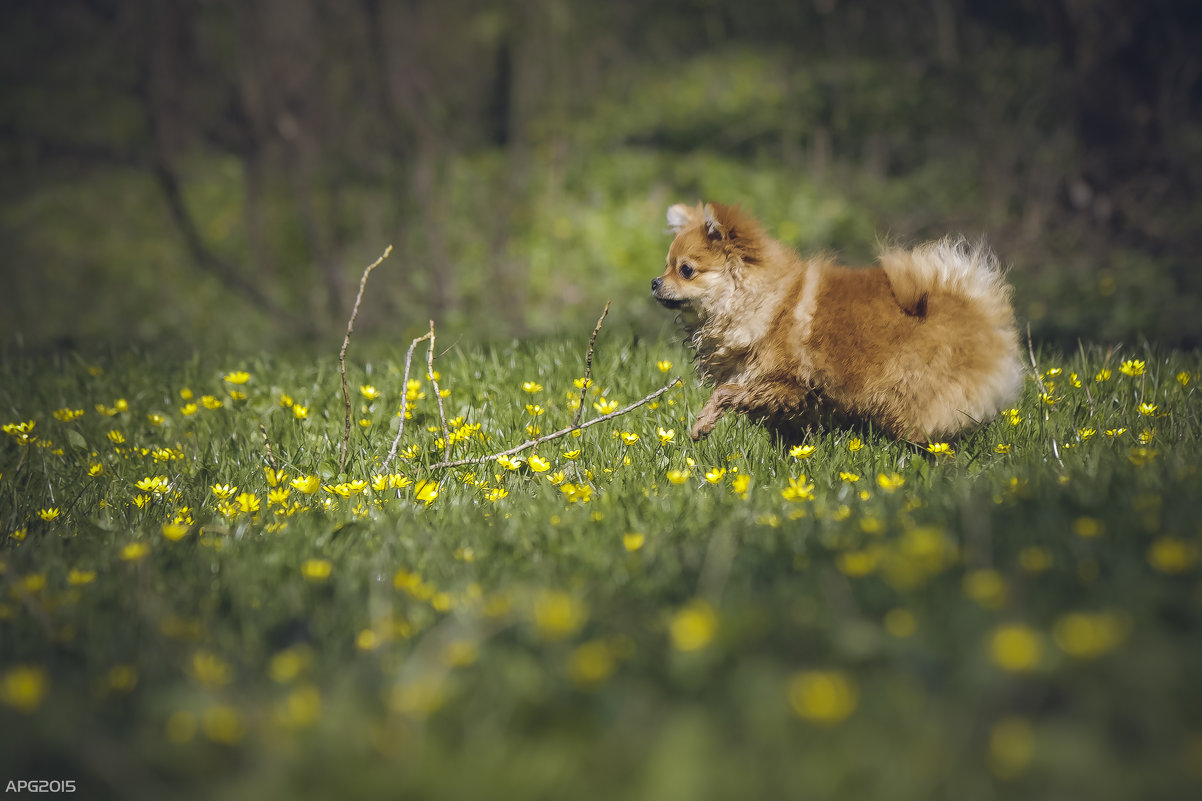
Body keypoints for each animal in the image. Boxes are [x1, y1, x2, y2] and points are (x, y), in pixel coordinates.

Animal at [653, 203, 1019, 442]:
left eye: (686, 270)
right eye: (667, 265)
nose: (655, 282)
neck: (765, 300)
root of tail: (975, 307)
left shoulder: (784, 383)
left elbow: (726, 391)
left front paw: (702, 422)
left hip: (912, 397)